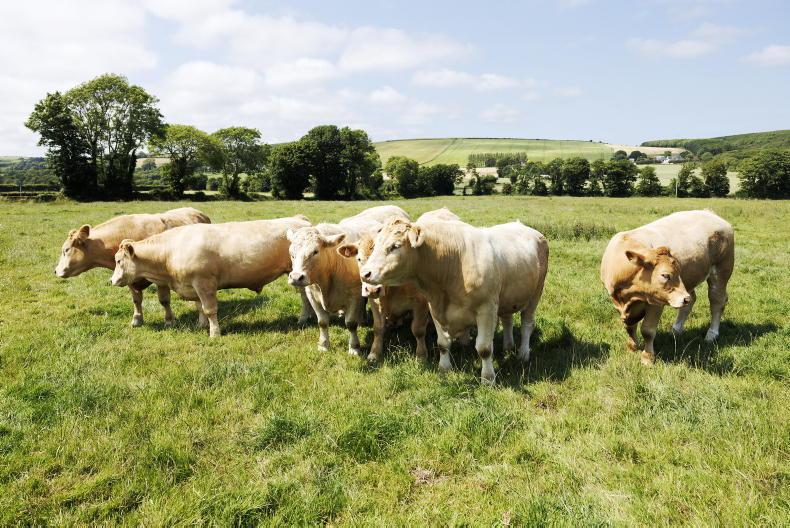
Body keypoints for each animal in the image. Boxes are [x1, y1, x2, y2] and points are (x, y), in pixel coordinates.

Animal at [55, 207, 210, 327]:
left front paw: (169, 321)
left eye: (66, 250)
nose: (55, 270)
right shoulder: (128, 278)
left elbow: (164, 300)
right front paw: (137, 319)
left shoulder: (161, 279)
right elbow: (136, 300)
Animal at [110, 215, 313, 337]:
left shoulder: (204, 283)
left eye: (118, 261)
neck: (170, 251)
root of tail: (299, 220)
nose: (111, 280)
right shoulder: (193, 285)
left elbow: (209, 309)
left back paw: (303, 318)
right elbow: (199, 307)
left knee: (305, 297)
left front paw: (214, 333)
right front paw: (201, 325)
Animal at [287, 205, 410, 355]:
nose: (296, 277)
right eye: (291, 253)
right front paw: (323, 345)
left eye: (315, 251)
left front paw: (354, 347)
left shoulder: (354, 295)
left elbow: (351, 324)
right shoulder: (312, 295)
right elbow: (322, 322)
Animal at [359, 217, 549, 384]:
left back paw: (523, 354)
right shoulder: (435, 308)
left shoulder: (486, 309)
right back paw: (508, 346)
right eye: (376, 245)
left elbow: (484, 348)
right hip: (507, 298)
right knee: (507, 319)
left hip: (536, 294)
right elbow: (442, 343)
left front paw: (488, 379)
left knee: (527, 324)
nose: (365, 273)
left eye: (395, 246)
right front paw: (444, 369)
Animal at [600, 209, 734, 365]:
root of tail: (709, 212)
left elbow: (647, 330)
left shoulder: (656, 302)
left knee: (717, 301)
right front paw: (632, 347)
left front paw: (647, 358)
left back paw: (711, 334)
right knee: (691, 300)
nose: (684, 298)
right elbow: (629, 326)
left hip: (721, 271)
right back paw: (676, 329)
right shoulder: (618, 302)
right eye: (665, 275)